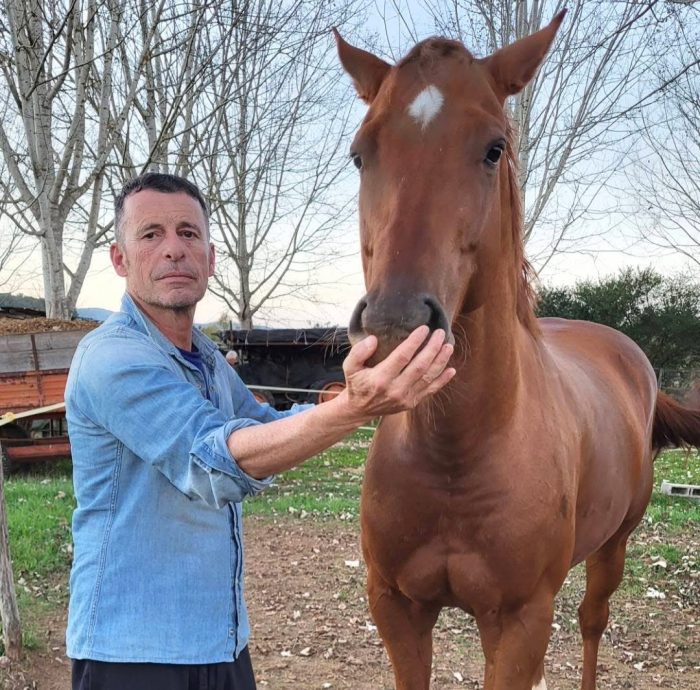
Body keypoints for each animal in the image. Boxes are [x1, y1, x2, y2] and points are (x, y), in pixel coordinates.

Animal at [334, 12, 700, 690]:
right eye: (360, 154)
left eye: (494, 148)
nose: (395, 325)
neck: (459, 454)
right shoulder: (397, 610)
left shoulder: (522, 621)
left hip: (613, 548)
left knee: (592, 622)